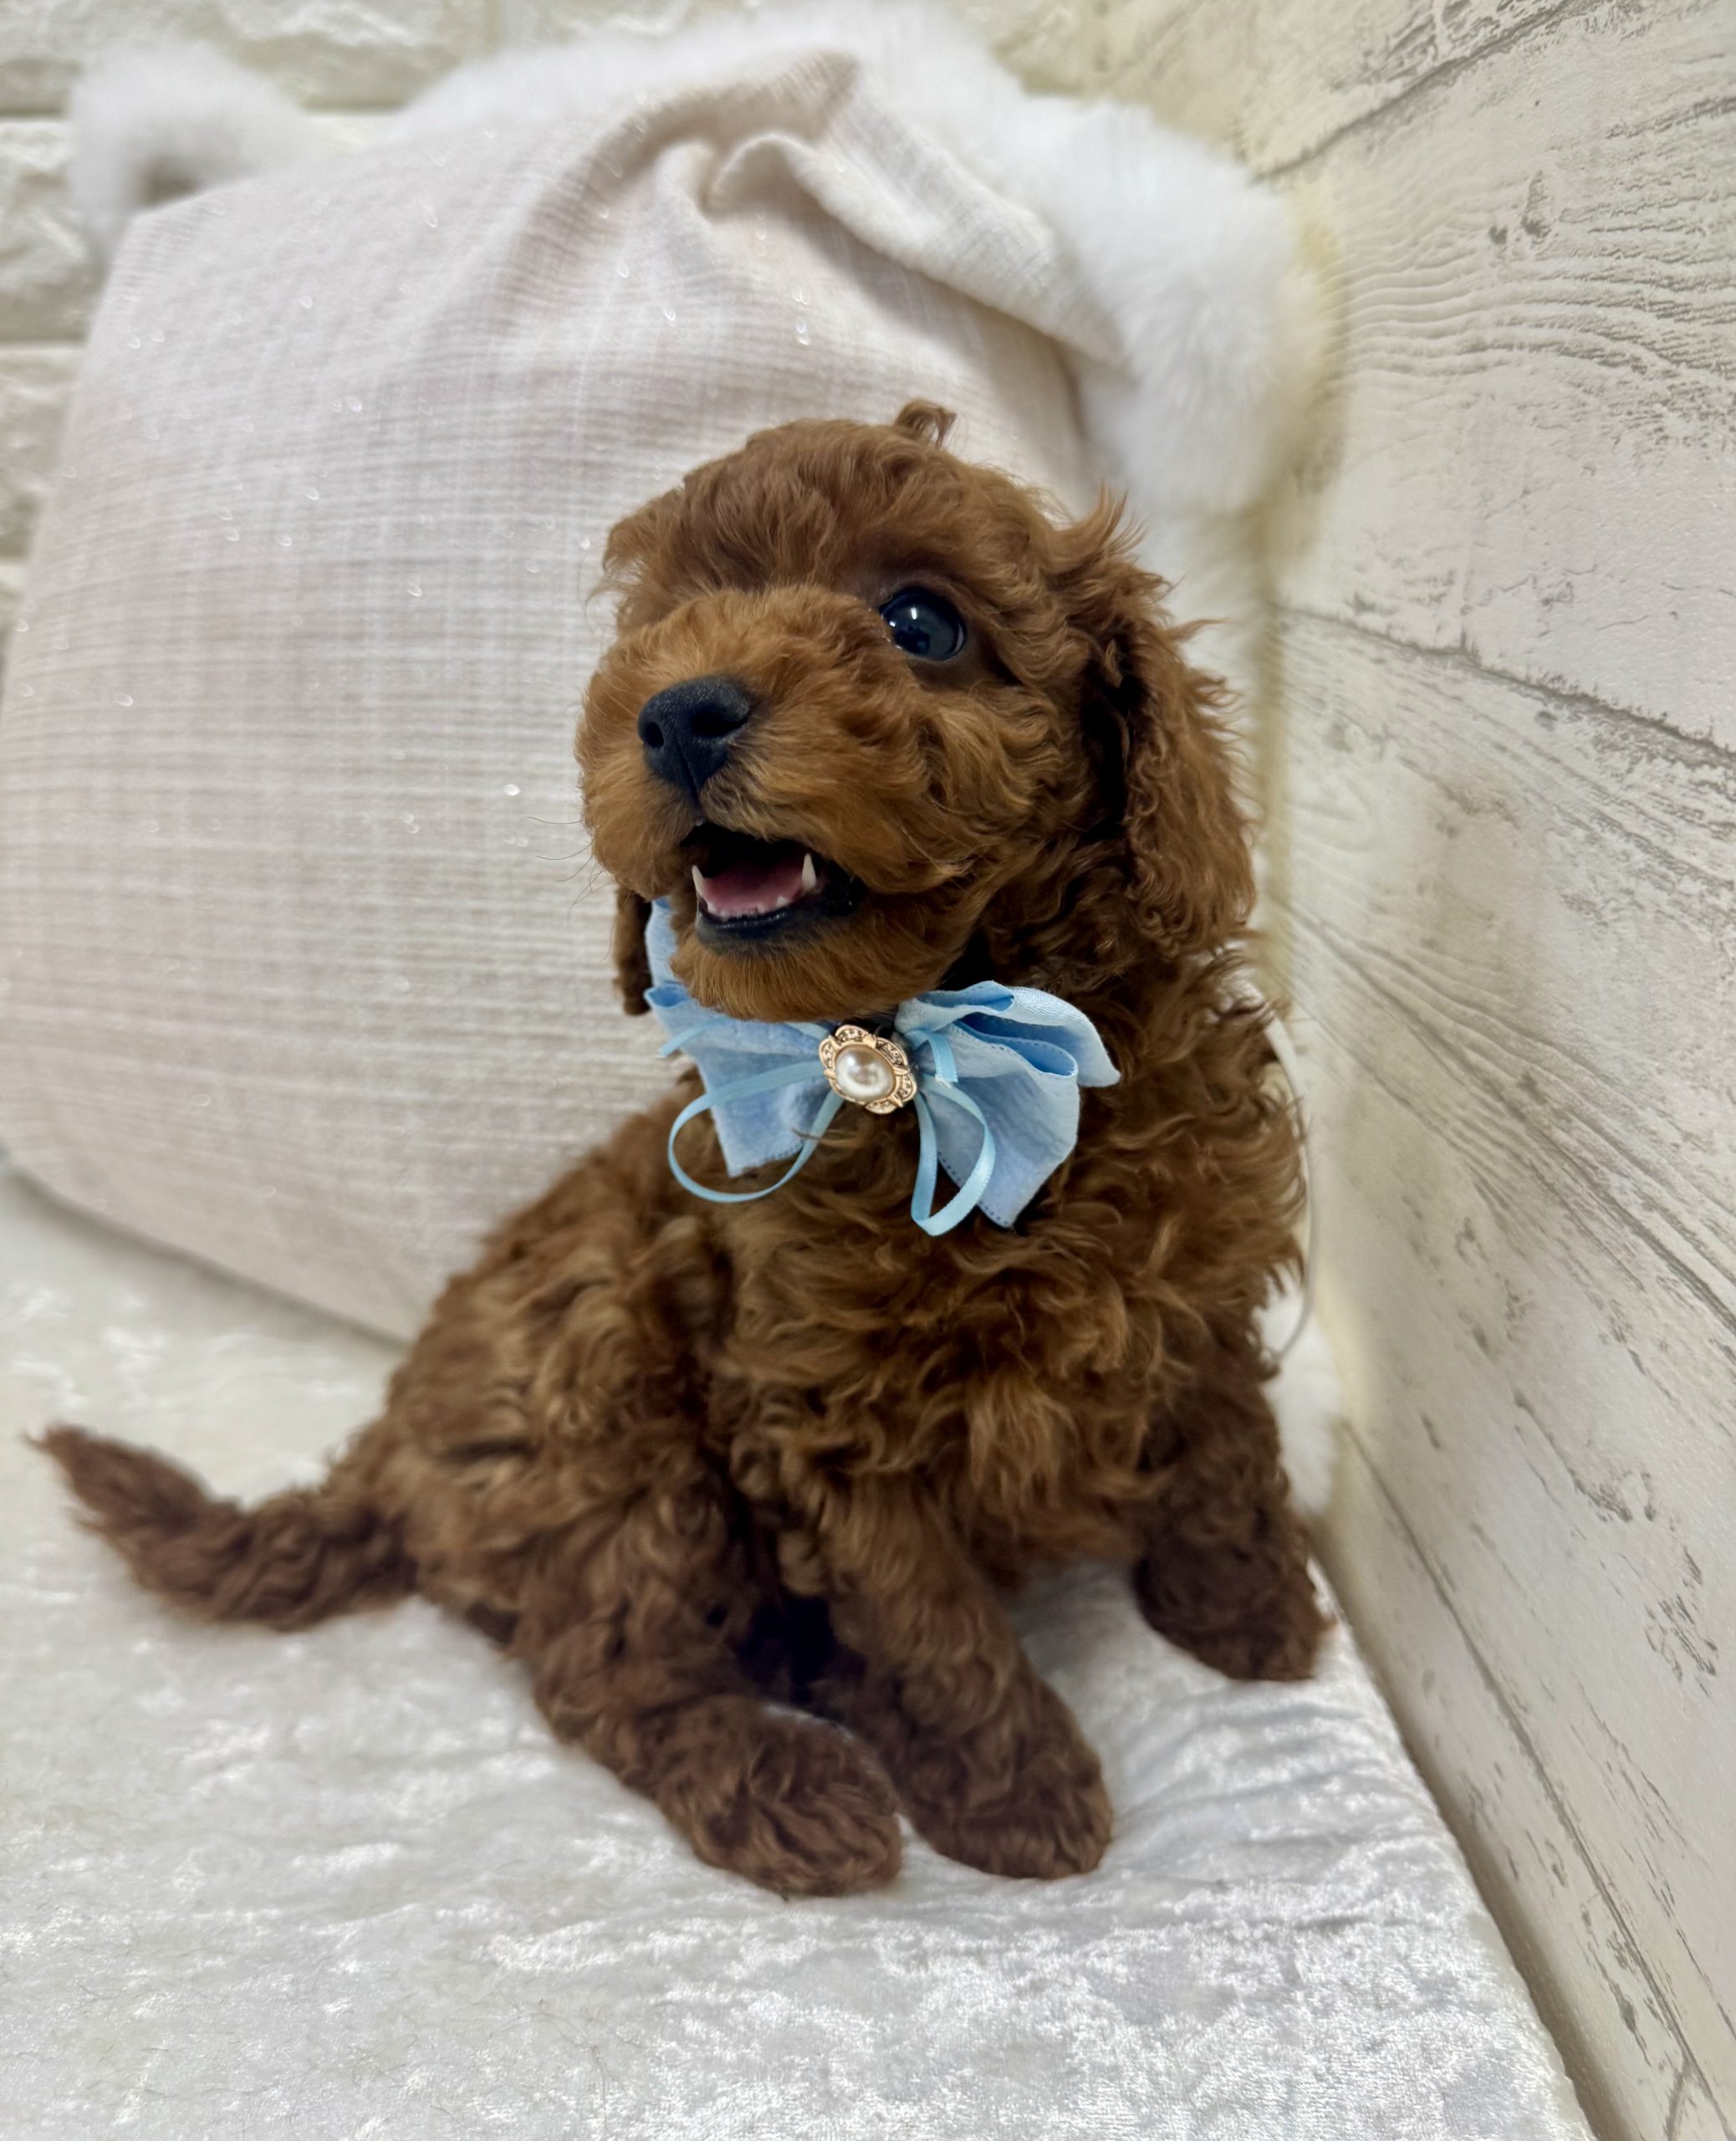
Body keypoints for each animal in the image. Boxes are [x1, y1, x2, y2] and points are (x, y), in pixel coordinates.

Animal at [42, 402, 1325, 1896]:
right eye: (664, 630)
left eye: (920, 620)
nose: (675, 710)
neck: (942, 1063)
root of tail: (388, 1454)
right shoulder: (821, 1411)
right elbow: (928, 1618)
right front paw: (1018, 1792)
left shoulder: (1202, 1271)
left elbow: (1228, 1437)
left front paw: (1248, 1609)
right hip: (613, 1397)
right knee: (605, 1670)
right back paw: (794, 1786)